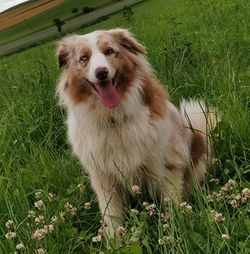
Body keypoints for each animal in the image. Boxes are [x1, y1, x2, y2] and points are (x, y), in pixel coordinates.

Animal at [56, 28, 217, 237]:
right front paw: (114, 241)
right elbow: (112, 220)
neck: (112, 118)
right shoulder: (104, 179)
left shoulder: (166, 166)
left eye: (109, 51)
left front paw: (176, 234)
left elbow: (172, 207)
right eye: (84, 58)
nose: (101, 72)